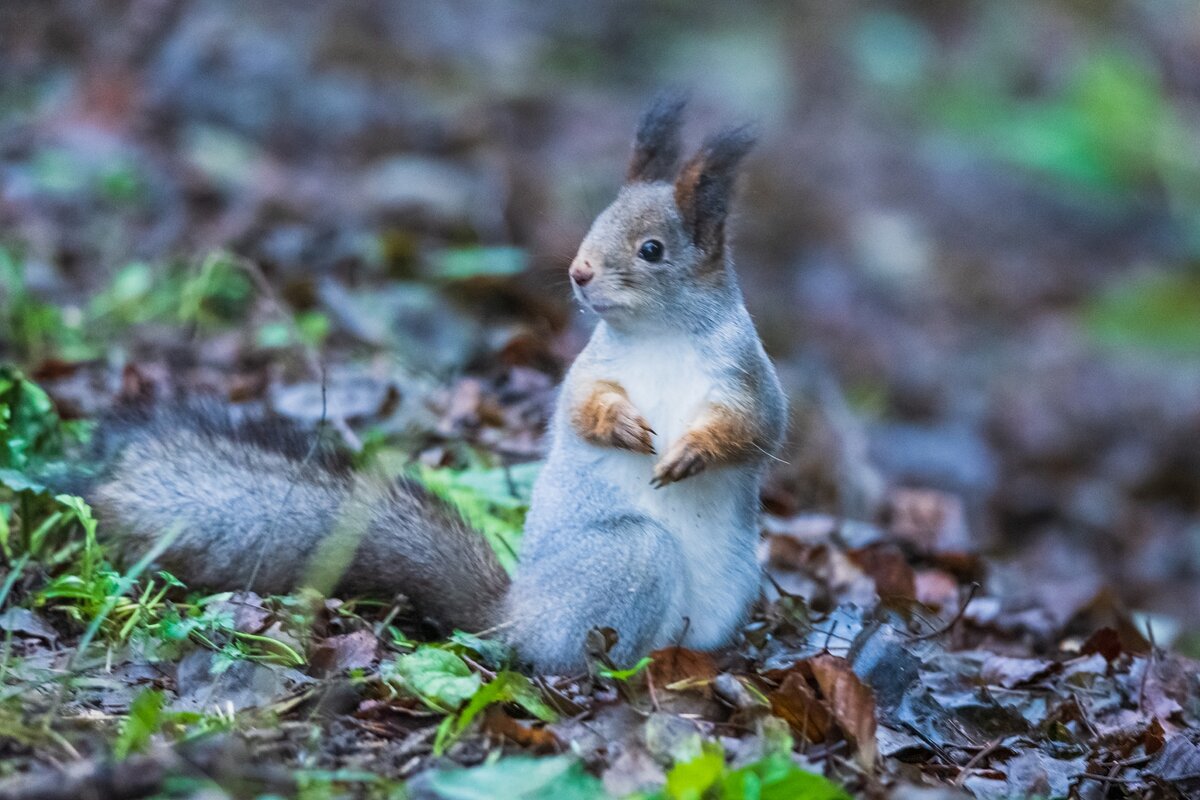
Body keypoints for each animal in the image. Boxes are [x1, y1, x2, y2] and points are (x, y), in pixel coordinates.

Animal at [77, 95, 787, 676]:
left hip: (732, 587)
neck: (660, 336)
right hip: (629, 559)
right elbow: (579, 409)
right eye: (597, 222)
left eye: (651, 250)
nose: (580, 273)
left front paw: (693, 451)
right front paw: (620, 425)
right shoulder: (588, 371)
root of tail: (516, 616)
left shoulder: (745, 374)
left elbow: (754, 427)